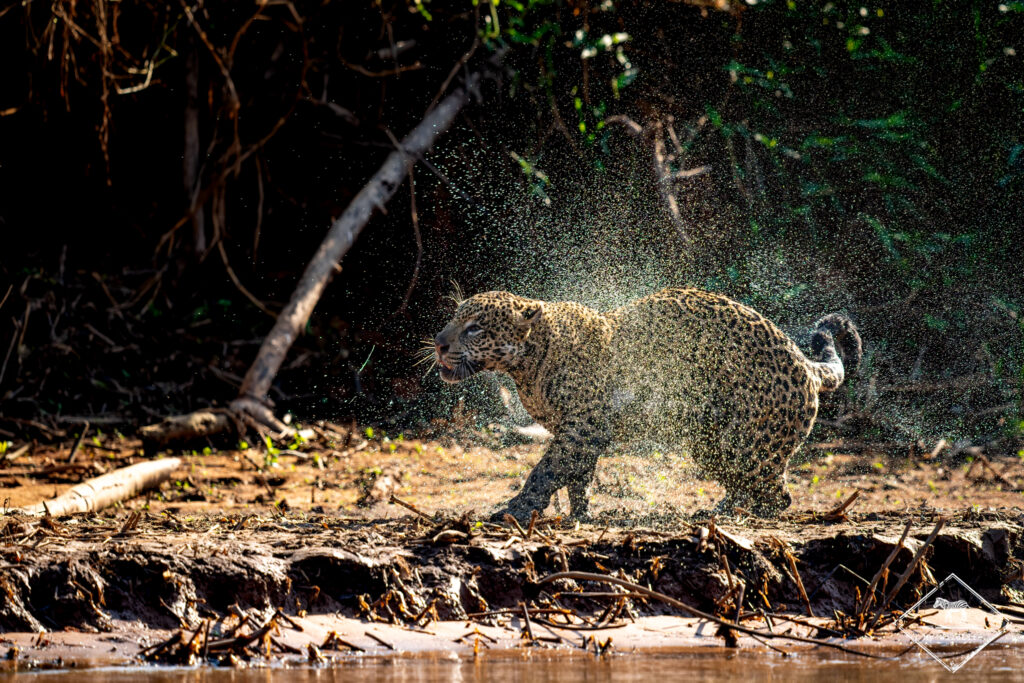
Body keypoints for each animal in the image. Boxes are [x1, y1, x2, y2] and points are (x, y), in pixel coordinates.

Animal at [431, 287, 861, 522]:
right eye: (453, 319)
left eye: (475, 328)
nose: (438, 342)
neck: (528, 364)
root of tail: (804, 364)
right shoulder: (581, 434)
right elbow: (577, 477)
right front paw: (580, 514)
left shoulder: (582, 427)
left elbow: (546, 470)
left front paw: (516, 509)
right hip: (711, 444)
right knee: (749, 483)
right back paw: (719, 510)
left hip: (746, 443)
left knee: (777, 495)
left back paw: (741, 514)